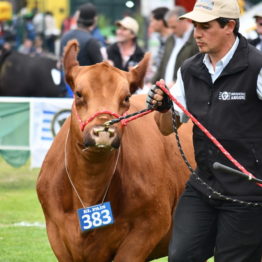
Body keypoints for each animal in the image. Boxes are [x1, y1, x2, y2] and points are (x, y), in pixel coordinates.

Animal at [35, 40, 193, 260]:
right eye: (79, 94)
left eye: (126, 97)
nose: (103, 131)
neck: (88, 191)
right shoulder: (56, 233)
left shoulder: (148, 228)